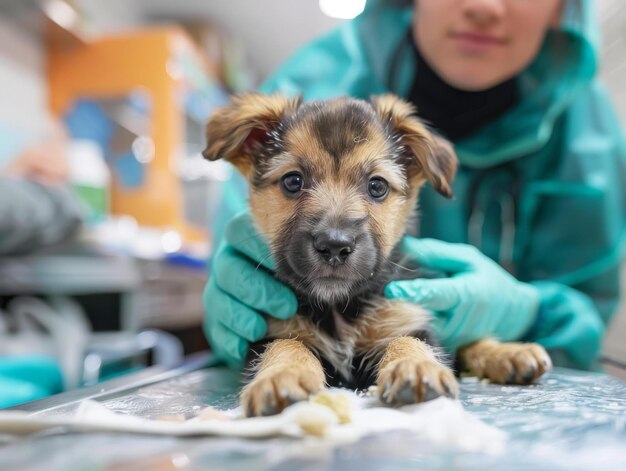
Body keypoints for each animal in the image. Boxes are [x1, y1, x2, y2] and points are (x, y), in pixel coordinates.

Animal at [202, 92, 548, 416]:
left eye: (377, 186)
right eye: (292, 181)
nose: (334, 245)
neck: (338, 307)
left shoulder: (406, 317)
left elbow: (408, 340)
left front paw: (415, 367)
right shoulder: (269, 332)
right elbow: (287, 344)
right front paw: (282, 376)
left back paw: (510, 354)